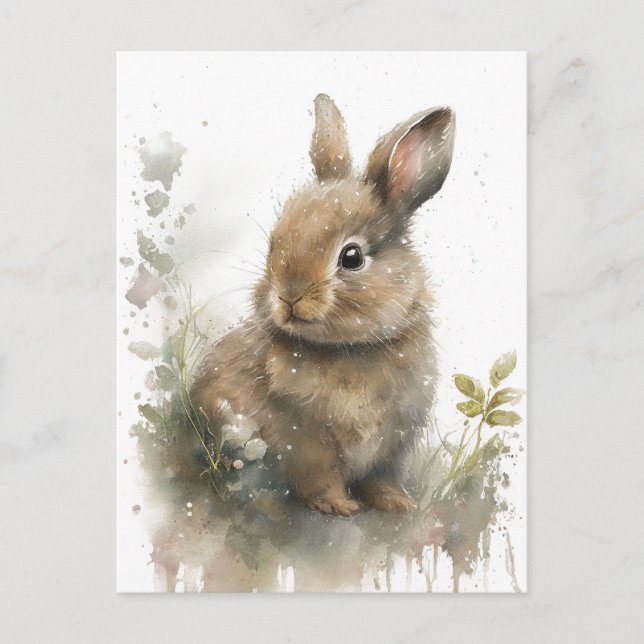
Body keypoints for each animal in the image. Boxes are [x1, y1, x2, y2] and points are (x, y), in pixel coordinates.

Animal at [191, 94, 455, 516]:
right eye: (274, 243)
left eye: (352, 257)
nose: (288, 296)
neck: (348, 349)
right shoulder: (305, 440)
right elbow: (320, 476)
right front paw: (340, 506)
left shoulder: (393, 442)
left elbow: (380, 477)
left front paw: (397, 502)